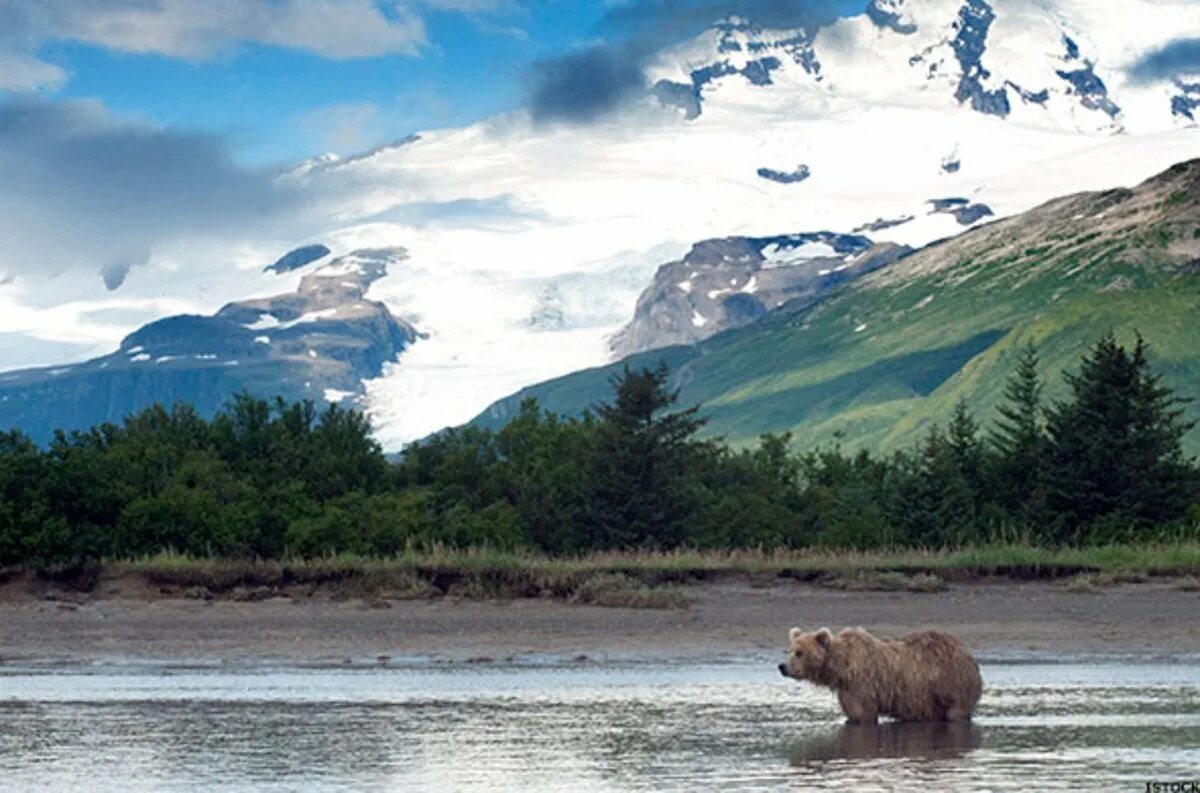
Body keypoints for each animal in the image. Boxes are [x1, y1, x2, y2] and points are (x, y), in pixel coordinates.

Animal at [777, 623, 984, 724]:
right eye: (789, 650)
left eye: (800, 653)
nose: (782, 666)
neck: (841, 668)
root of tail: (966, 652)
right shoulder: (846, 690)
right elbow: (852, 714)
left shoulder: (861, 685)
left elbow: (863, 714)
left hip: (951, 683)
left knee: (956, 712)